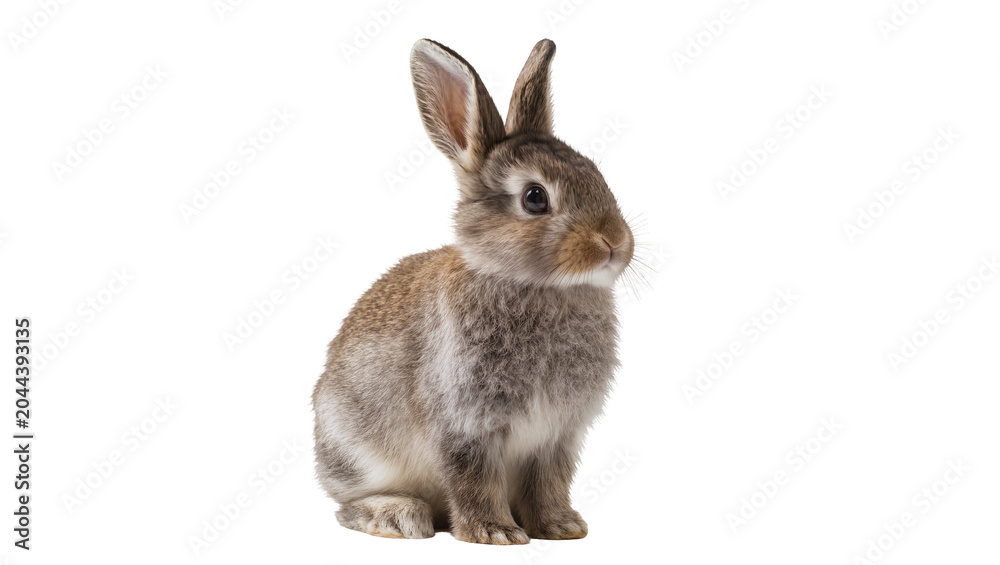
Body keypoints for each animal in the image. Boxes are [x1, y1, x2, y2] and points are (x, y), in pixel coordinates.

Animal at [312, 37, 634, 545]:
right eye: (535, 198)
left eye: (596, 174)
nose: (615, 243)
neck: (535, 285)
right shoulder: (465, 425)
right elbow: (474, 478)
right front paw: (495, 533)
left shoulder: (555, 436)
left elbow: (549, 483)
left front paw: (561, 527)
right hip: (356, 449)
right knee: (346, 506)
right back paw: (397, 516)